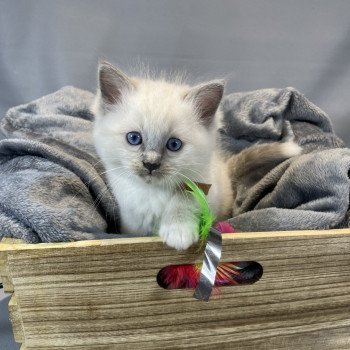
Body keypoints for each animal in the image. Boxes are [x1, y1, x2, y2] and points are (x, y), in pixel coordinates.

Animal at [92, 62, 232, 249]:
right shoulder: (130, 215)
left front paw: (178, 233)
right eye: (134, 138)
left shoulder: (204, 185)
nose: (150, 164)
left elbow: (184, 200)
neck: (153, 192)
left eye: (174, 145)